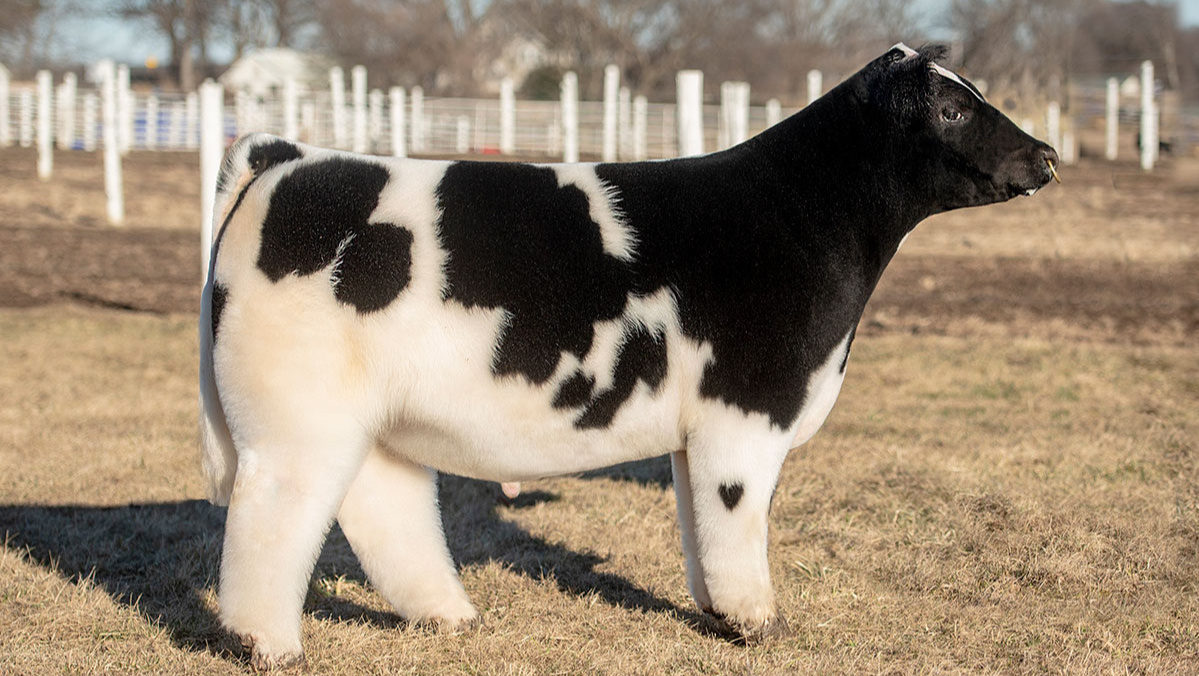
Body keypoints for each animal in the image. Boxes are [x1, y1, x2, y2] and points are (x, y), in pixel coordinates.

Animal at [199, 43, 1057, 669]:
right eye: (951, 107)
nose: (1045, 155)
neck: (796, 217)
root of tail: (290, 157)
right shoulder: (745, 411)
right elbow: (737, 520)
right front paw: (757, 622)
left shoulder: (699, 431)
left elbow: (698, 525)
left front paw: (715, 612)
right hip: (296, 417)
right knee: (274, 516)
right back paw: (267, 644)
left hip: (372, 418)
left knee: (383, 506)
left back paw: (449, 616)